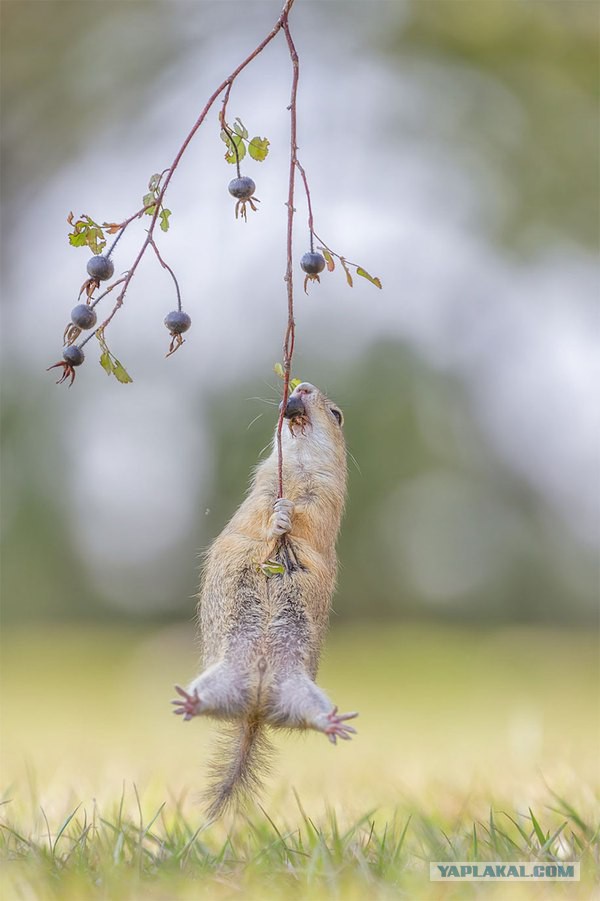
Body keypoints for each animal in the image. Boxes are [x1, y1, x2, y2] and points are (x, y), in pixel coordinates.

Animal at [171, 380, 356, 816]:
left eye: (337, 415)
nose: (302, 385)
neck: (298, 466)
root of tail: (254, 709)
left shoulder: (327, 497)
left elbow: (310, 519)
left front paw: (287, 515)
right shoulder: (261, 486)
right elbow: (259, 514)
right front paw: (278, 518)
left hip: (299, 692)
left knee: (308, 717)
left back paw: (333, 722)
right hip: (226, 679)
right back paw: (190, 702)